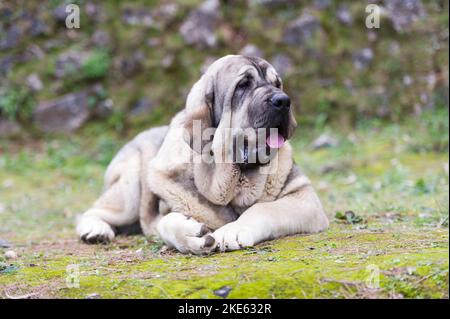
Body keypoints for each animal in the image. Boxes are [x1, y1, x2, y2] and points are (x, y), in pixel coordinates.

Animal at [77, 55, 328, 255]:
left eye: (277, 84)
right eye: (243, 85)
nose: (283, 101)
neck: (237, 179)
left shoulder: (305, 197)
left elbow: (263, 208)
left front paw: (233, 230)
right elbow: (164, 223)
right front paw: (191, 235)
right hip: (129, 187)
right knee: (96, 210)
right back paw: (96, 229)